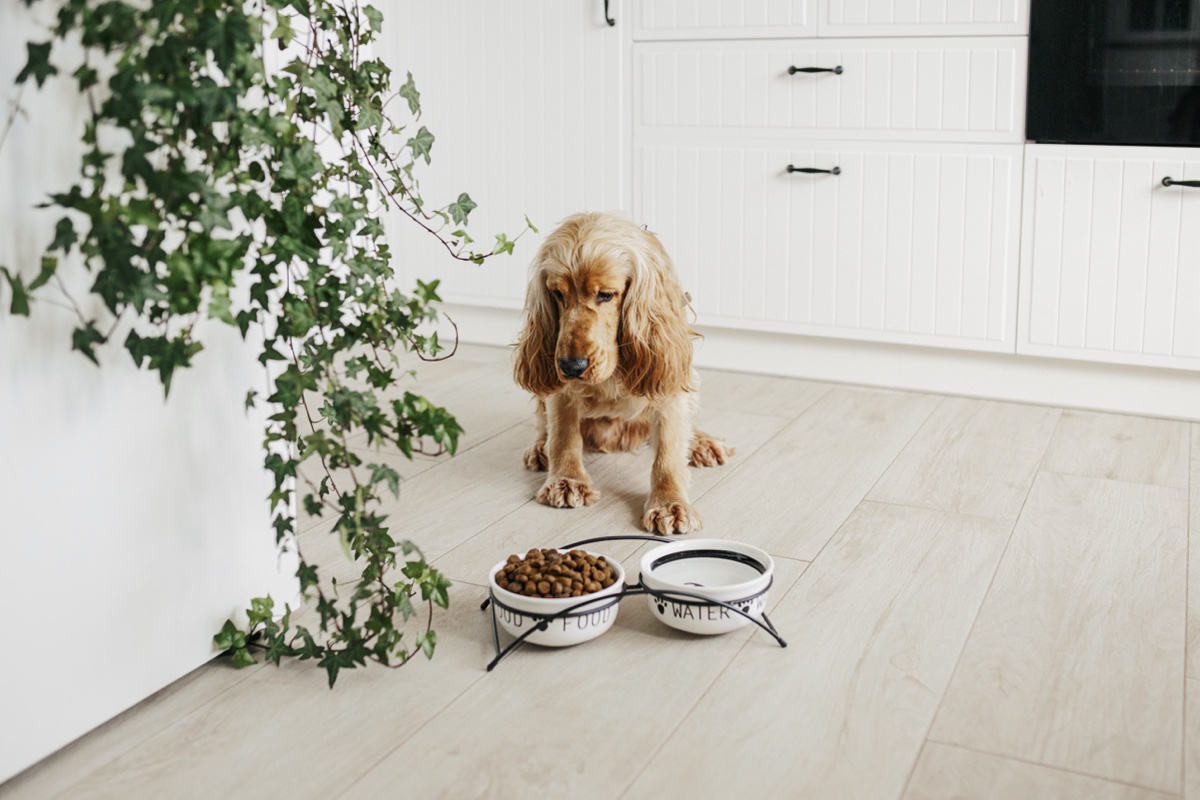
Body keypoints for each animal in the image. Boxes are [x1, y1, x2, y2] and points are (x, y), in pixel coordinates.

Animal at [513, 212, 729, 537]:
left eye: (606, 295)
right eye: (557, 294)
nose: (571, 367)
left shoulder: (669, 381)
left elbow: (668, 452)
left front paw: (669, 504)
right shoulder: (562, 389)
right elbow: (564, 434)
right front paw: (566, 480)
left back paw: (703, 443)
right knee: (543, 424)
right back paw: (540, 449)